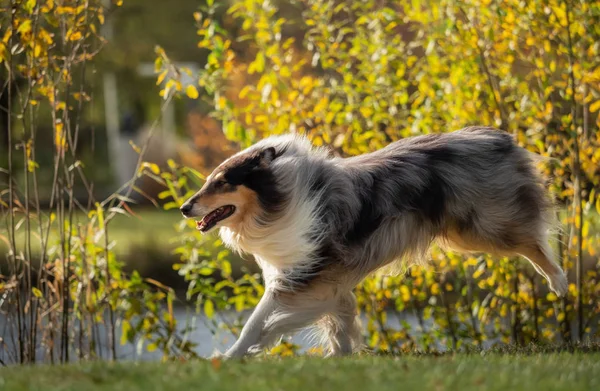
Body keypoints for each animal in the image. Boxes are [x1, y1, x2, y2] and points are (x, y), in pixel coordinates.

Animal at [178, 128, 568, 358]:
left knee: (534, 241)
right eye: (209, 180)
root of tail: (496, 137)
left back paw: (559, 281)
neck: (280, 197)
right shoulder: (326, 281)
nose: (183, 208)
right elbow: (339, 322)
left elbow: (258, 321)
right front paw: (340, 357)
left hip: (482, 228)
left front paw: (233, 355)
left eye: (222, 182)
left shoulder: (303, 276)